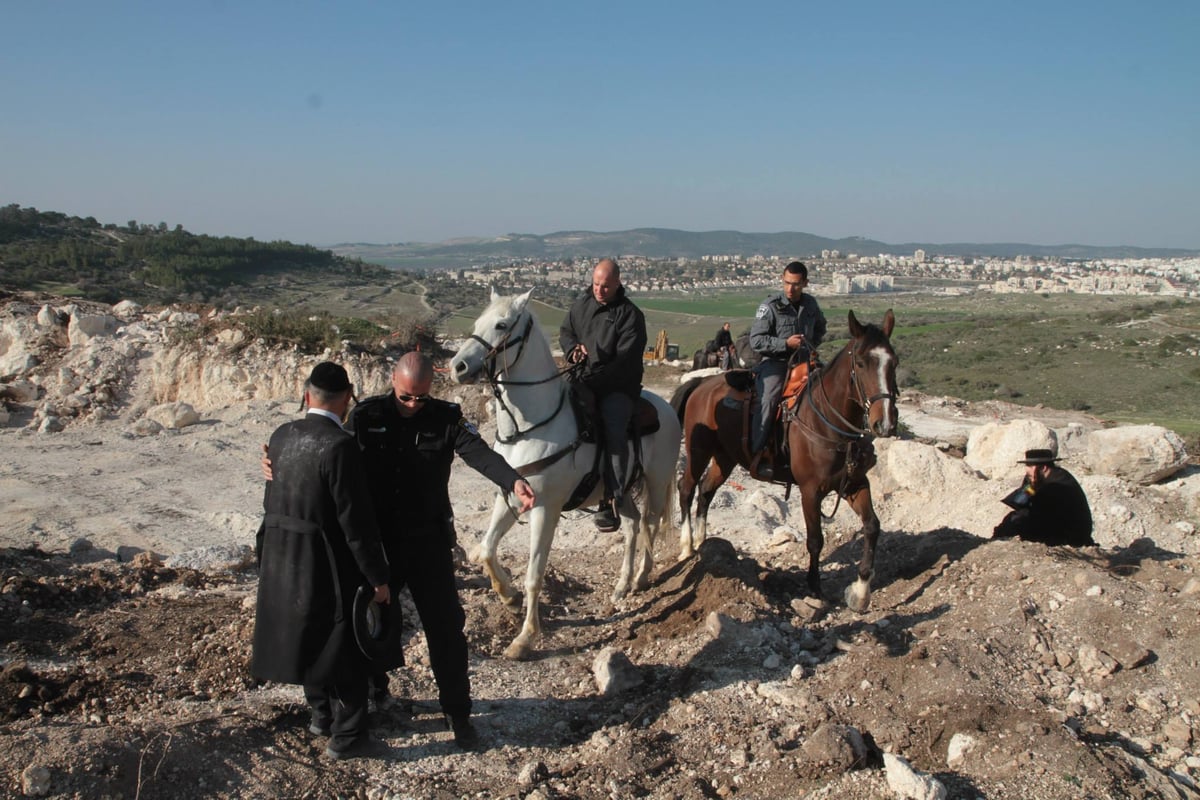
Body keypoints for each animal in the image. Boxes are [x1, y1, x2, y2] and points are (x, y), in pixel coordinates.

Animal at [451, 291, 681, 662]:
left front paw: (525, 637)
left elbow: (535, 573)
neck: (529, 427)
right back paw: (622, 585)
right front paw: (509, 597)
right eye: (476, 323)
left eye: (501, 325)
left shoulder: (546, 509)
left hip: (658, 483)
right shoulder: (509, 495)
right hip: (621, 494)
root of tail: (666, 408)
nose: (457, 367)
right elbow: (486, 549)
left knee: (651, 525)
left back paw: (642, 577)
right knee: (633, 526)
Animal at [672, 309, 897, 609]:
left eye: (893, 362)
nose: (885, 423)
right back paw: (687, 546)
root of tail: (701, 384)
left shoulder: (855, 484)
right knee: (686, 488)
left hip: (724, 458)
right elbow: (815, 540)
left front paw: (860, 592)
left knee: (706, 490)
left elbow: (872, 526)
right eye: (860, 363)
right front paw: (814, 587)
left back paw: (702, 541)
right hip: (699, 451)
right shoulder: (810, 491)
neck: (829, 421)